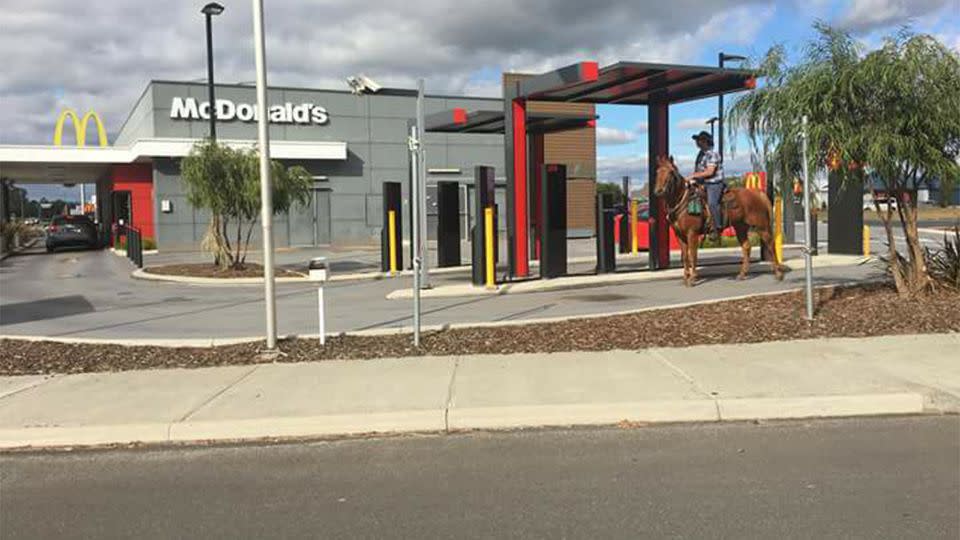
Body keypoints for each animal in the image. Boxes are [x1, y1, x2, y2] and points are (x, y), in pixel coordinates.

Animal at [648, 156, 784, 286]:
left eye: (671, 172)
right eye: (657, 171)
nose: (658, 191)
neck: (683, 201)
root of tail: (758, 194)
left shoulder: (692, 234)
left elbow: (693, 255)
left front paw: (692, 278)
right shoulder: (680, 235)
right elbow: (685, 256)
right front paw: (686, 278)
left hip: (762, 227)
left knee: (770, 245)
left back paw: (778, 274)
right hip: (740, 227)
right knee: (746, 247)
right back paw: (742, 274)